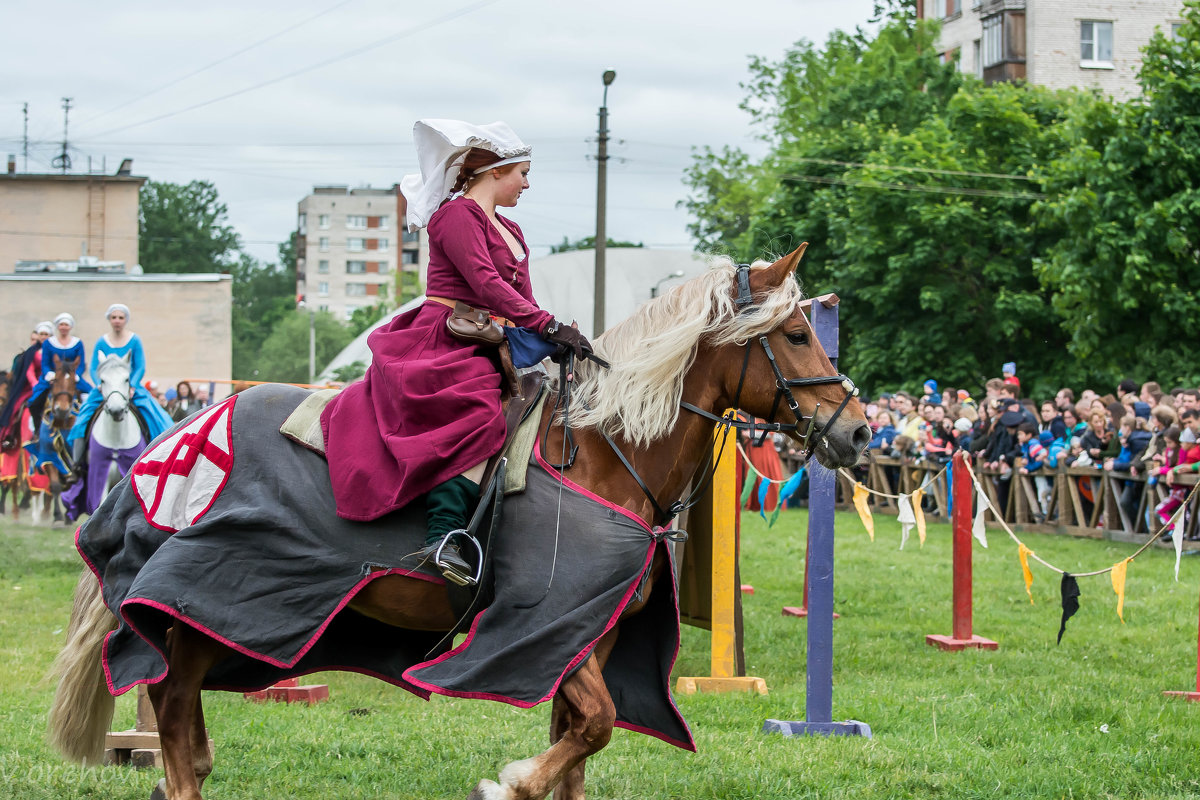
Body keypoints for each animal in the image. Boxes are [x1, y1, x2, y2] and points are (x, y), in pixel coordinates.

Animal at [49, 248, 873, 800]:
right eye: (795, 336)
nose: (860, 432)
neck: (608, 454)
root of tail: (173, 439)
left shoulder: (588, 634)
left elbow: (578, 744)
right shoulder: (545, 627)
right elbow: (596, 726)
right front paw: (508, 782)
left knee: (178, 705)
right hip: (209, 600)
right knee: (169, 701)